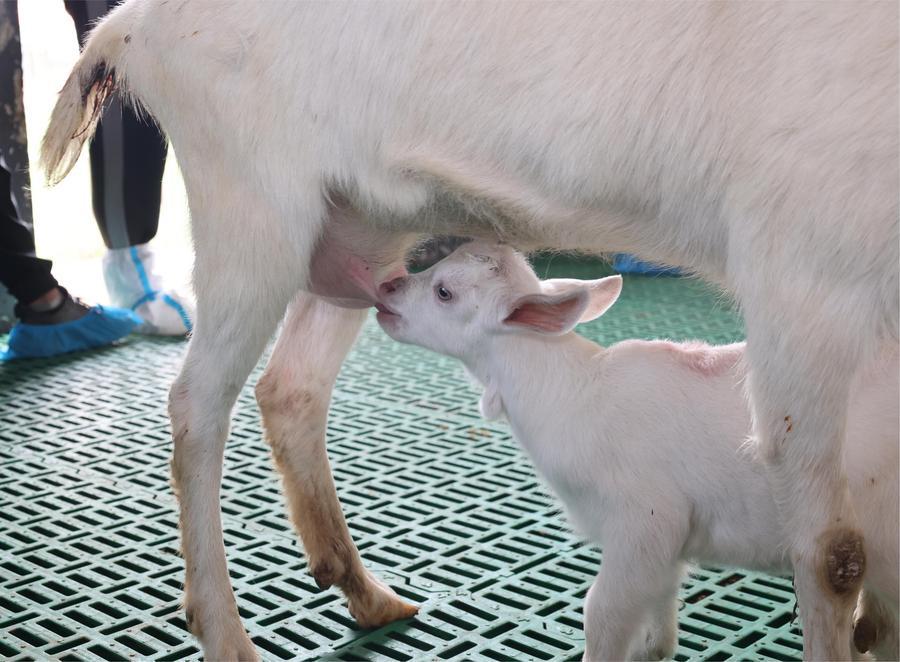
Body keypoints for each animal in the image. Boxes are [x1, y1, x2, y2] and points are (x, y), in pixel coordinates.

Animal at [40, 2, 898, 659]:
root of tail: (130, 21)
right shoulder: (801, 268)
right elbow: (834, 554)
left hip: (357, 224)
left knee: (291, 387)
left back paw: (362, 589)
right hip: (251, 204)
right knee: (196, 406)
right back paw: (225, 633)